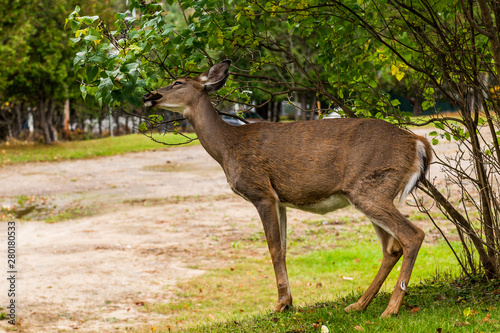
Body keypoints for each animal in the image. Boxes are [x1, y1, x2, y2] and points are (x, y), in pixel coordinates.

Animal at [143, 59, 432, 316]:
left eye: (177, 82)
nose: (149, 95)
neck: (227, 147)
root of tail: (418, 142)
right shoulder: (280, 200)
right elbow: (282, 248)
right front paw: (288, 301)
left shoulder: (261, 192)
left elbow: (272, 248)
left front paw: (280, 303)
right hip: (369, 191)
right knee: (391, 248)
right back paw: (359, 305)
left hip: (370, 188)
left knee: (412, 235)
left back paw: (390, 309)